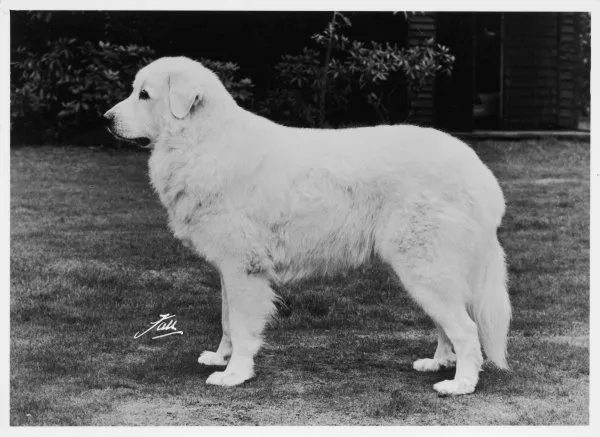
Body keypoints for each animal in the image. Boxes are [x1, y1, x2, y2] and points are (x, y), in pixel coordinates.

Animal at [106, 56, 510, 394]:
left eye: (144, 95)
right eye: (134, 91)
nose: (106, 119)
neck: (202, 142)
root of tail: (479, 172)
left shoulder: (244, 269)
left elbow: (241, 325)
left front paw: (234, 375)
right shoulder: (228, 269)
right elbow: (226, 321)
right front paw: (220, 358)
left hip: (424, 268)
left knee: (467, 329)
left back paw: (461, 384)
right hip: (429, 272)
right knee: (448, 325)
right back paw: (438, 363)